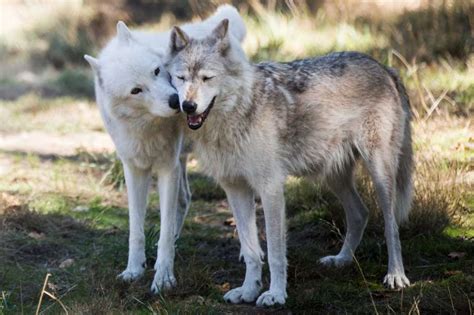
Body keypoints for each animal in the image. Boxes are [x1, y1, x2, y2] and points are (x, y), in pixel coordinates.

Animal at [83, 5, 246, 294]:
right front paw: (133, 270)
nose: (176, 102)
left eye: (157, 71)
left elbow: (165, 229)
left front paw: (163, 278)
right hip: (180, 162)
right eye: (136, 90)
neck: (147, 126)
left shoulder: (166, 168)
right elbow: (136, 229)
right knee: (185, 198)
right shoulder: (134, 169)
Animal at [165, 19, 412, 306]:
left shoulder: (270, 188)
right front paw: (248, 290)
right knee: (360, 214)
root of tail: (383, 67)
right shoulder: (235, 189)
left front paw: (276, 294)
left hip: (380, 174)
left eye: (207, 78)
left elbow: (274, 252)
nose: (188, 105)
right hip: (334, 177)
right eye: (181, 78)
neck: (235, 114)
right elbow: (251, 250)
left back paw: (396, 275)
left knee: (391, 226)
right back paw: (341, 260)